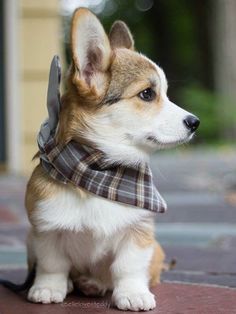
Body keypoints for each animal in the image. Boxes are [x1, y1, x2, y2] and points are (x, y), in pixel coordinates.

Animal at [25, 7, 199, 312]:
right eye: (147, 94)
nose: (195, 122)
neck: (101, 170)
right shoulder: (45, 230)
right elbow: (52, 264)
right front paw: (47, 288)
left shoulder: (139, 232)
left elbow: (128, 267)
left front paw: (133, 293)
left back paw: (93, 283)